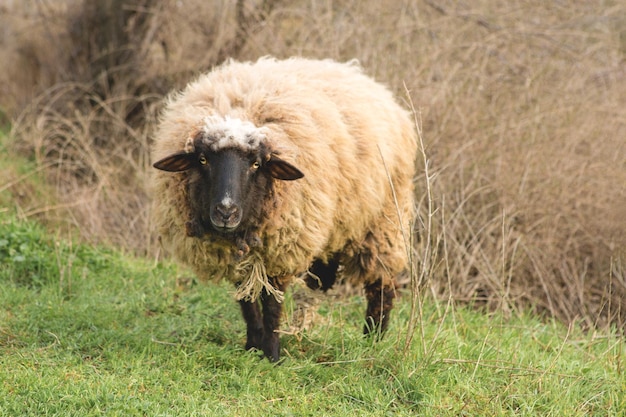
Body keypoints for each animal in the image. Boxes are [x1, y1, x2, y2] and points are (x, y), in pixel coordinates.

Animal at [150, 56, 414, 360]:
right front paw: (253, 345)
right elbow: (247, 300)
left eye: (256, 164)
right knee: (320, 282)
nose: (226, 212)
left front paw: (272, 353)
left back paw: (374, 340)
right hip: (334, 226)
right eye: (203, 159)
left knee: (381, 286)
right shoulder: (242, 254)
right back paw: (303, 327)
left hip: (384, 221)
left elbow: (271, 303)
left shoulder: (280, 249)